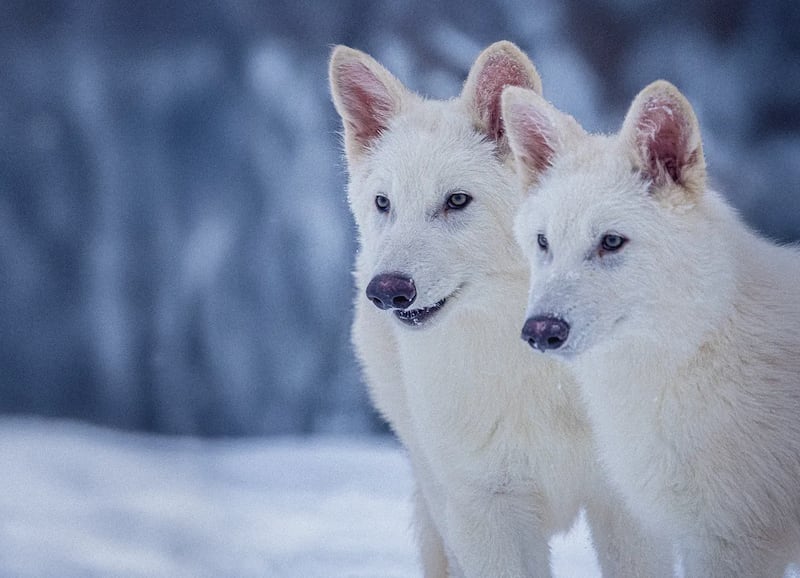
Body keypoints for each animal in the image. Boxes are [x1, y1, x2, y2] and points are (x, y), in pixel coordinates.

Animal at [329, 42, 670, 577]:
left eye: (457, 200)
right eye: (384, 203)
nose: (387, 291)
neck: (534, 372)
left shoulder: (626, 508)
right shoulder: (485, 513)